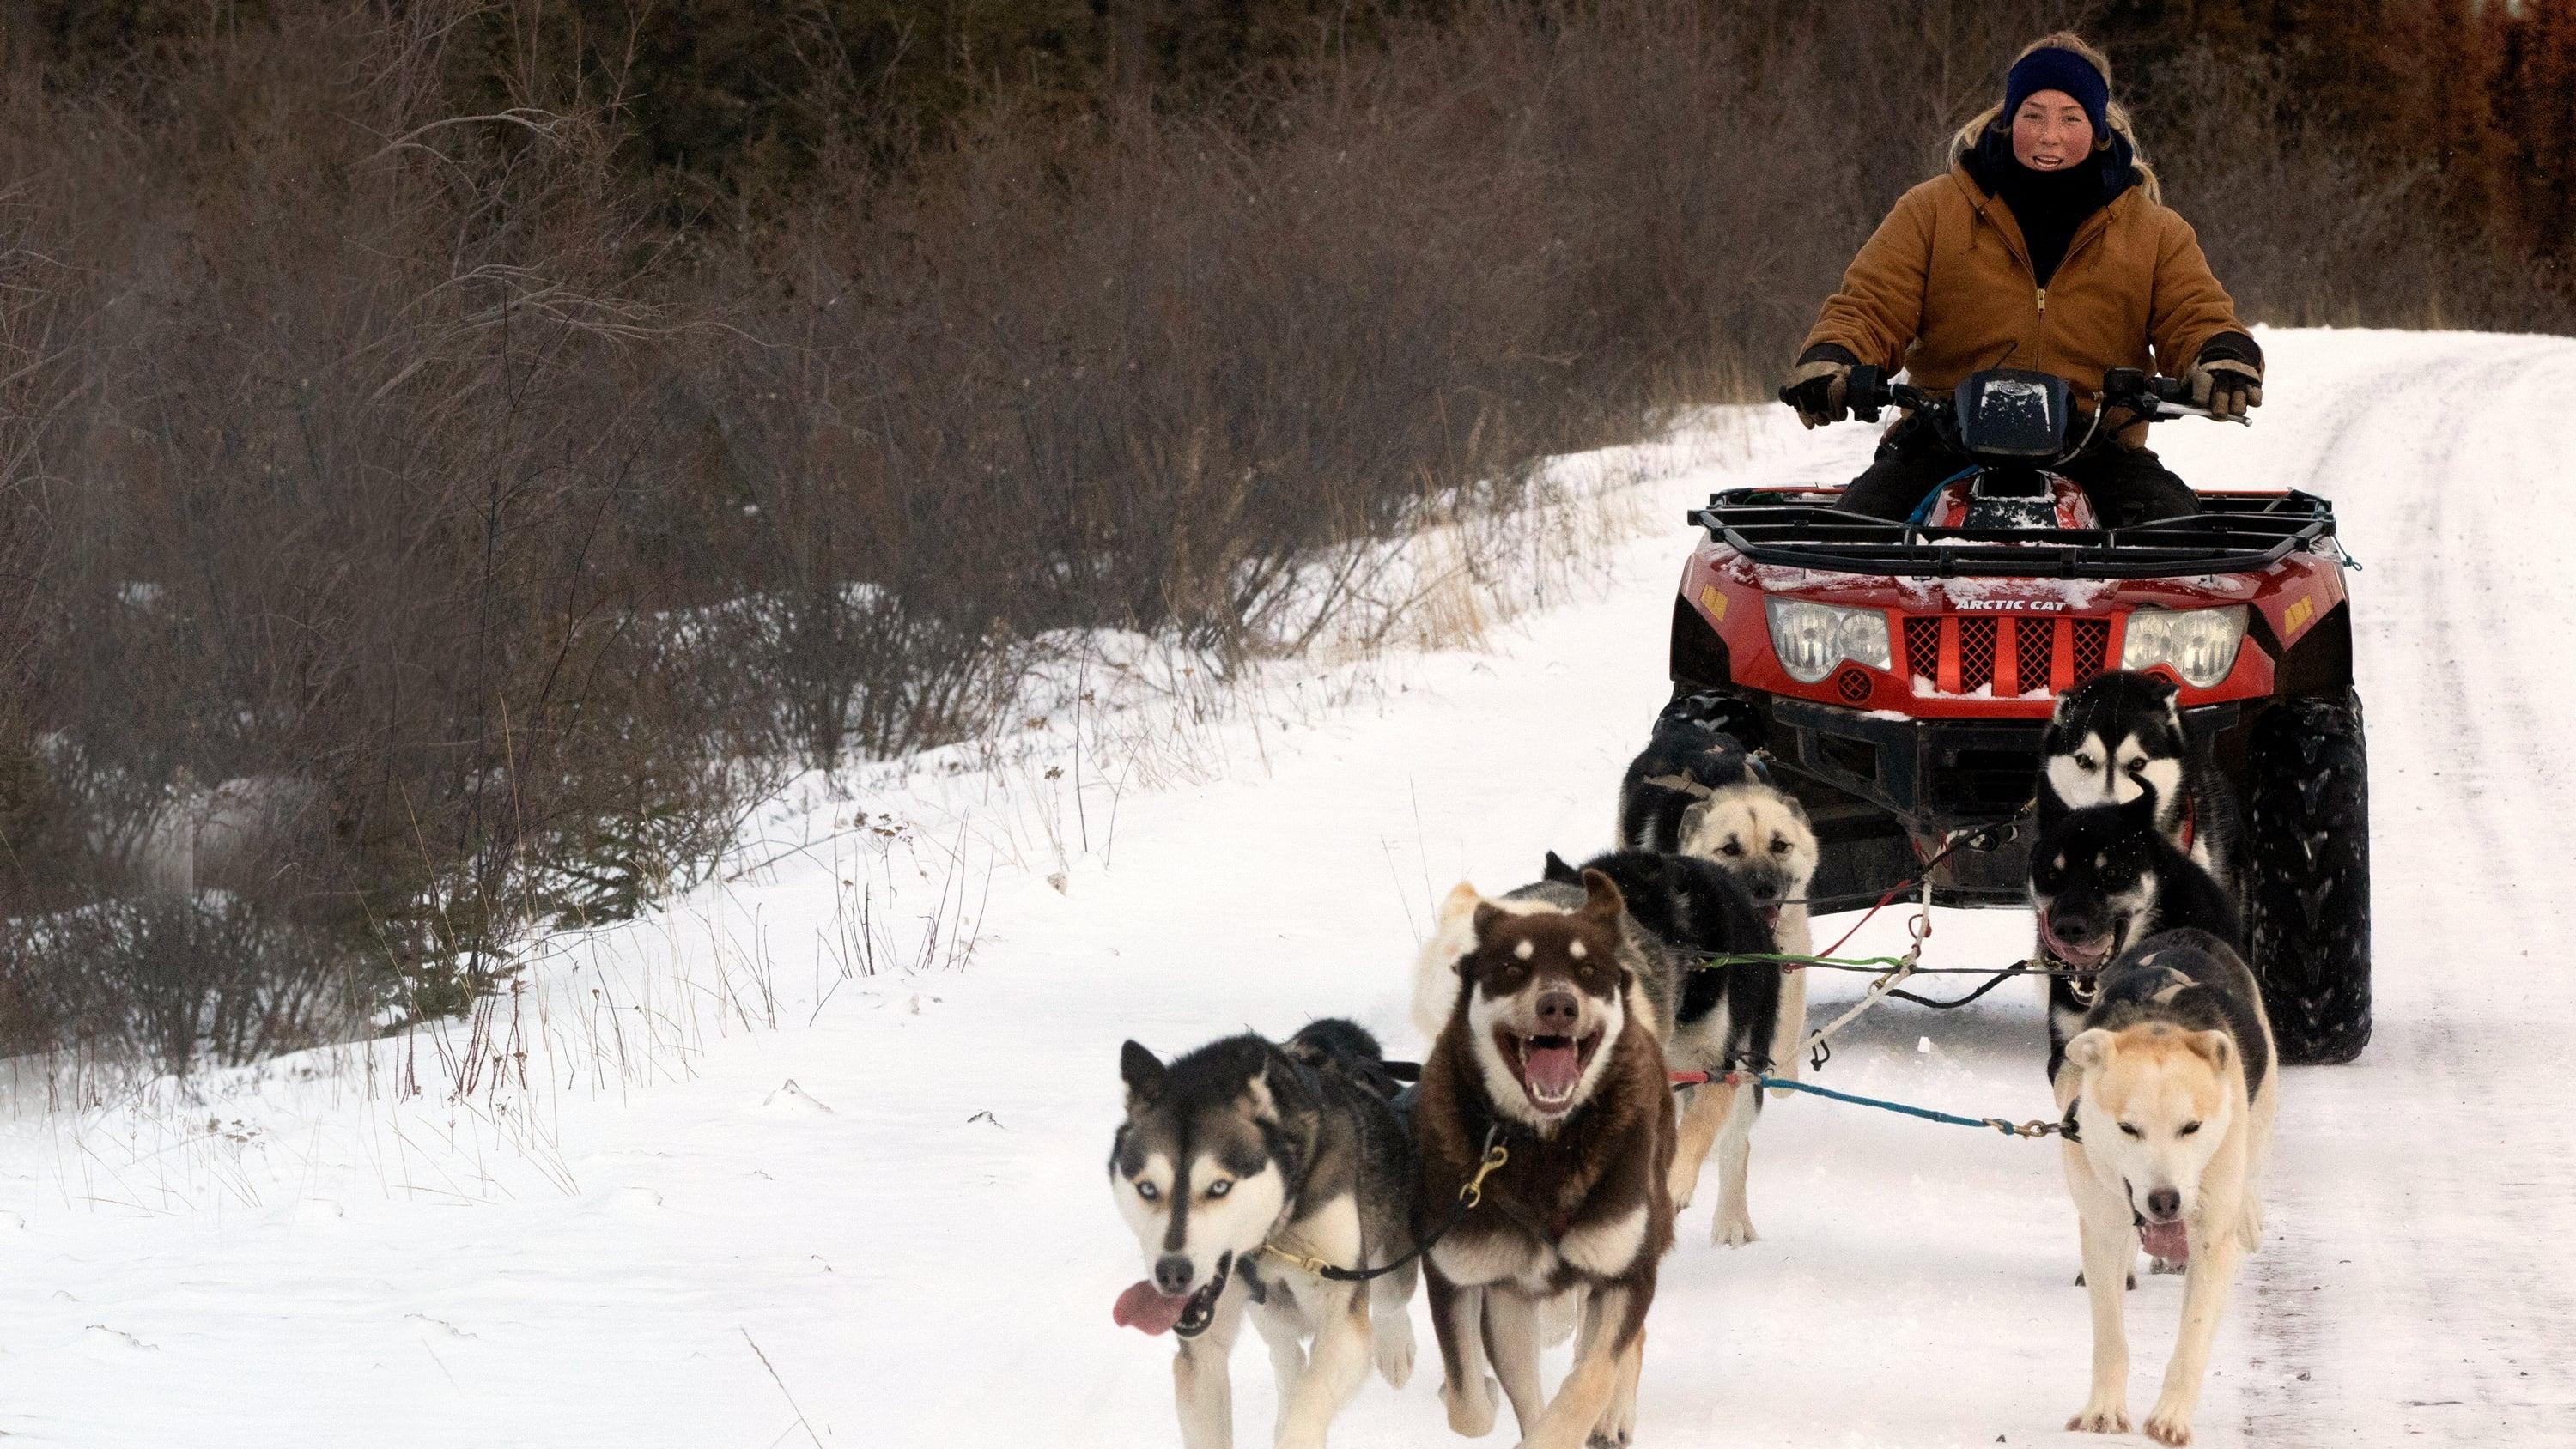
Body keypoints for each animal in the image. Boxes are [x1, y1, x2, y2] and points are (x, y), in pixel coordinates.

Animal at [1412, 875, 1669, 1449]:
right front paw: (1477, 1394)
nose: (1558, 1006)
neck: (1545, 1143)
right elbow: (1470, 1403)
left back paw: (1613, 1416)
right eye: (1512, 967)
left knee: (1616, 1351)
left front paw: (1590, 1414)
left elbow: (1586, 1386)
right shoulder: (1466, 1276)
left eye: (1587, 971)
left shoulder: (1627, 1272)